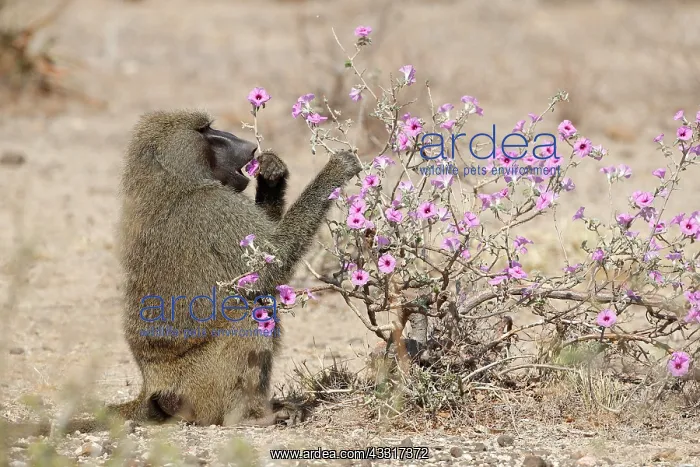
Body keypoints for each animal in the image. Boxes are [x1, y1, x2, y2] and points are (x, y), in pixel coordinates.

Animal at [2, 109, 362, 439]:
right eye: (205, 131)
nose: (249, 148)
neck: (173, 181)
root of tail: (152, 385)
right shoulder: (215, 208)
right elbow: (271, 263)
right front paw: (336, 169)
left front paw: (271, 174)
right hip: (200, 384)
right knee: (250, 313)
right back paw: (252, 417)